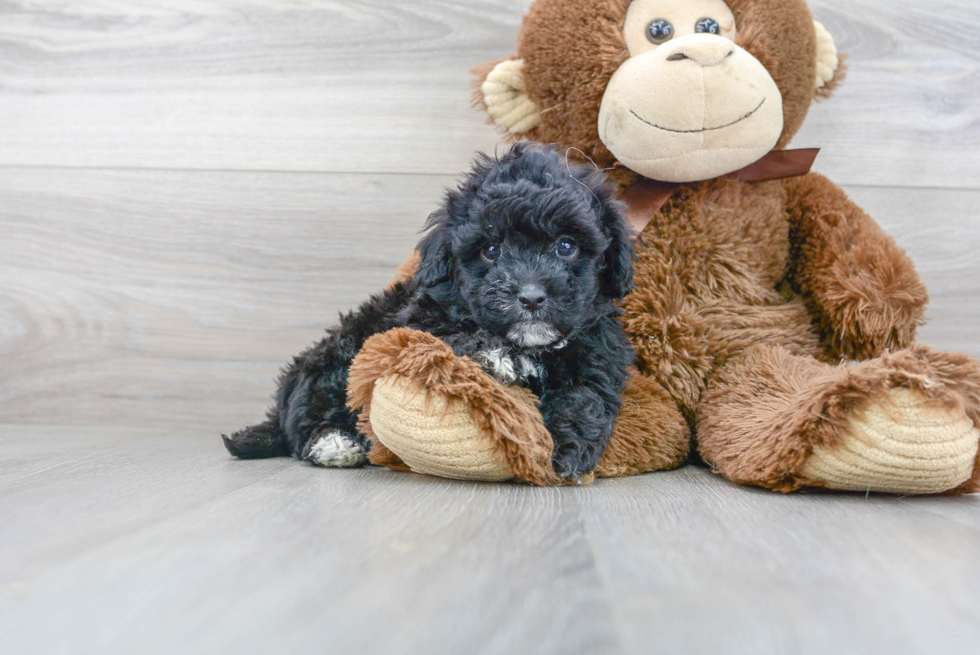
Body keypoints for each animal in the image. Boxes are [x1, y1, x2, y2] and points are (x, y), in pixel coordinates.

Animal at [223, 144, 636, 480]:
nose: (531, 297)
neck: (532, 345)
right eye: (491, 250)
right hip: (335, 360)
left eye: (566, 246)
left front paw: (567, 451)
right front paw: (497, 355)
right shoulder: (418, 319)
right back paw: (335, 444)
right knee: (305, 419)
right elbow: (456, 332)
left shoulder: (598, 350)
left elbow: (584, 396)